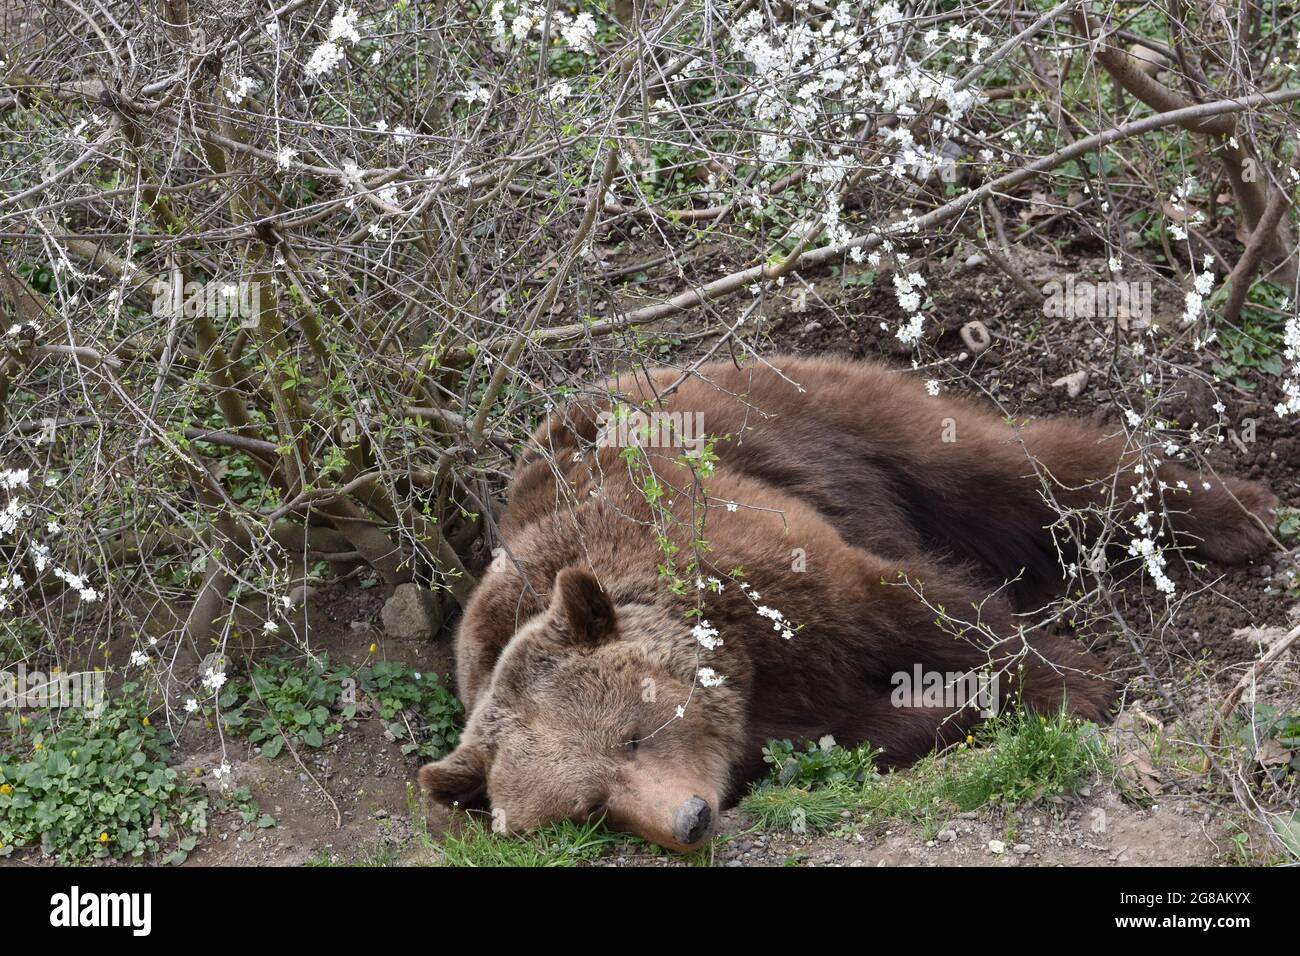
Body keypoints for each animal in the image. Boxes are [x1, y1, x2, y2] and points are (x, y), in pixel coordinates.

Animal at [418, 356, 1279, 853]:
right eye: (591, 808)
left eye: (634, 734)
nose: (690, 819)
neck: (741, 665)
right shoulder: (777, 716)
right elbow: (872, 726)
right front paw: (959, 709)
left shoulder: (759, 568)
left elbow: (913, 607)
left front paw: (1073, 683)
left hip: (808, 425)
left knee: (1006, 467)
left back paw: (1237, 509)